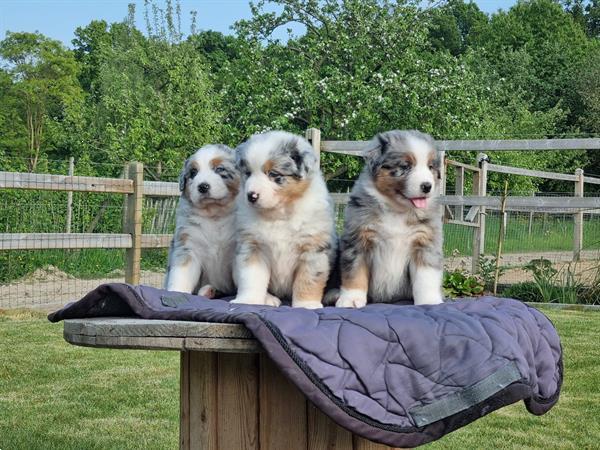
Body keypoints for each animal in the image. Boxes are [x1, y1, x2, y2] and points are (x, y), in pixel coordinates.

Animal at [164, 143, 241, 296]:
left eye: (219, 169)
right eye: (193, 173)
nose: (203, 186)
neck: (215, 215)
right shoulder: (188, 247)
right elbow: (180, 276)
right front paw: (175, 293)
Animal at [232, 130, 338, 310]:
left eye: (273, 174)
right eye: (248, 173)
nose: (251, 196)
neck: (279, 214)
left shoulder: (312, 249)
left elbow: (308, 280)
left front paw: (306, 305)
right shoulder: (253, 247)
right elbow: (251, 277)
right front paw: (247, 301)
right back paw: (269, 299)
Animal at [338, 128, 446, 308]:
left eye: (430, 167)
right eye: (405, 166)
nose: (427, 186)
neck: (398, 210)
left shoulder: (425, 241)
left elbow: (426, 277)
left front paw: (429, 301)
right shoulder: (359, 240)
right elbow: (355, 273)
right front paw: (351, 299)